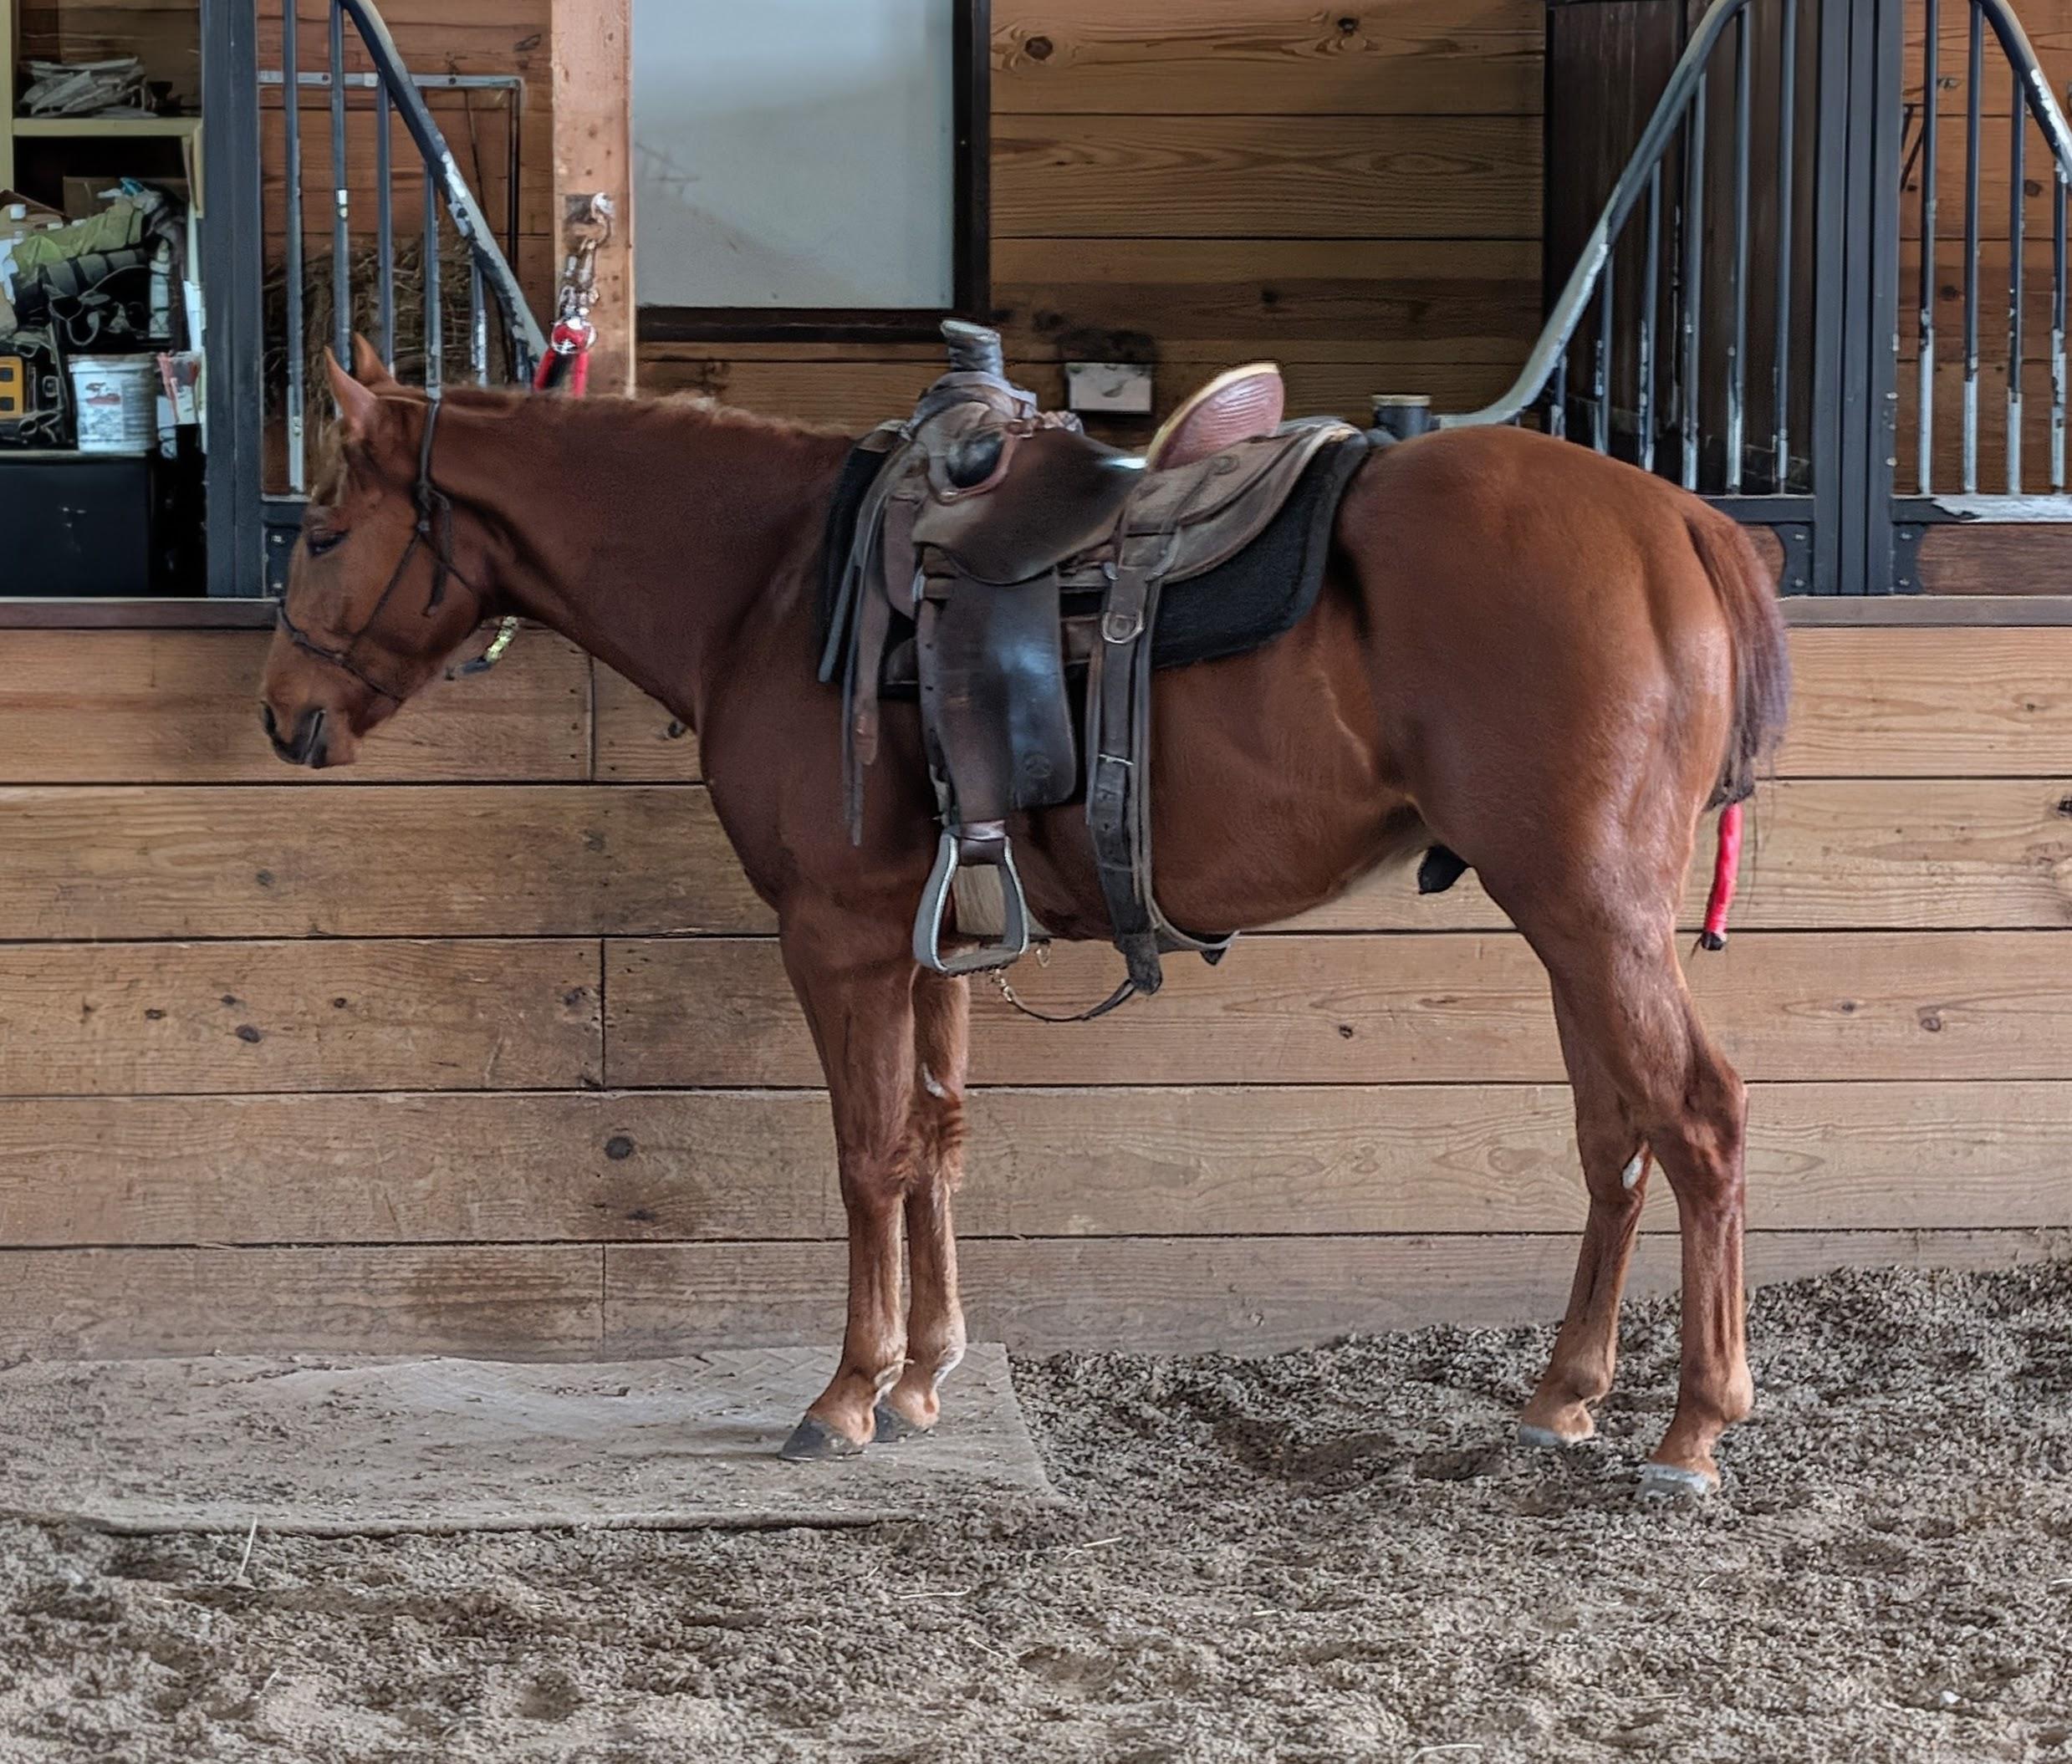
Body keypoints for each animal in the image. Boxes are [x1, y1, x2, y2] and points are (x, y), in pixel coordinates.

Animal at [260, 339, 1789, 1497]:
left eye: (325, 530)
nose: (284, 717)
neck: (769, 579)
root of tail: (1680, 524)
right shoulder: (927, 932)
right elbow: (937, 1137)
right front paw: (926, 1375)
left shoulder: (836, 936)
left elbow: (868, 1155)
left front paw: (848, 1390)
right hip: (1574, 925)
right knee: (1613, 1140)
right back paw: (1559, 1398)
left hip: (1588, 913)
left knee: (1698, 1117)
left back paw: (1692, 1427)